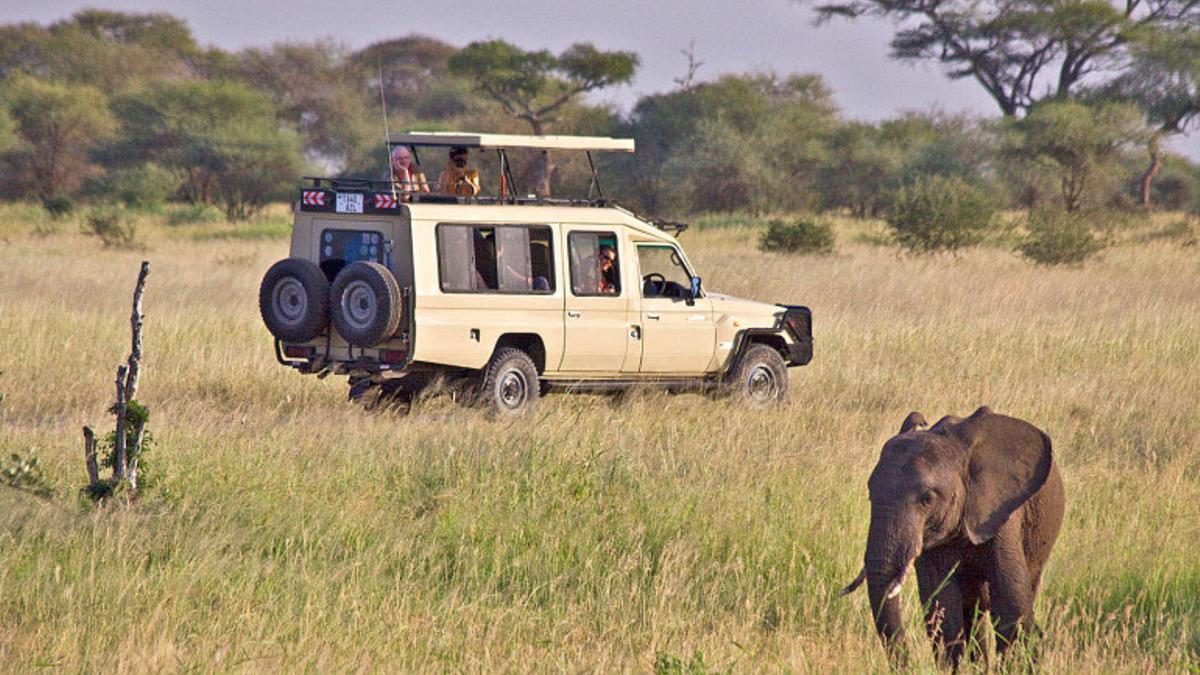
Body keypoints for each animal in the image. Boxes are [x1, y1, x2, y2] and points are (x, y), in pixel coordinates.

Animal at [840, 401, 1065, 662]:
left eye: (927, 499)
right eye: (870, 493)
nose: (907, 662)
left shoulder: (1001, 514)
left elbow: (1010, 602)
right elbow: (942, 605)